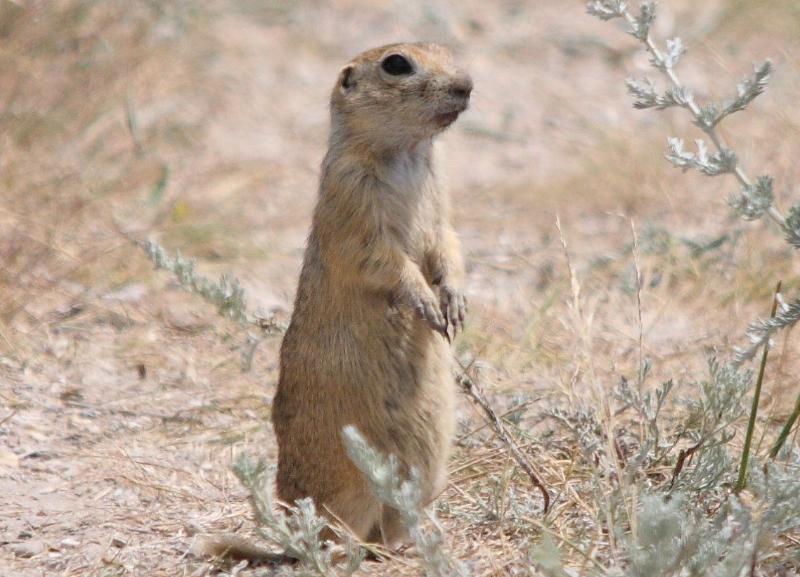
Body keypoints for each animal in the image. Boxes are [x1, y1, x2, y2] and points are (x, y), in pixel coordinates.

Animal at [196, 41, 468, 564]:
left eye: (446, 50)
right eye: (397, 64)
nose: (466, 85)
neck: (406, 153)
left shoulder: (443, 207)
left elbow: (450, 244)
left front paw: (456, 304)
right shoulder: (353, 203)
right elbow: (384, 259)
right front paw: (425, 303)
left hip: (424, 479)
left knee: (387, 529)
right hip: (351, 489)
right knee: (337, 537)